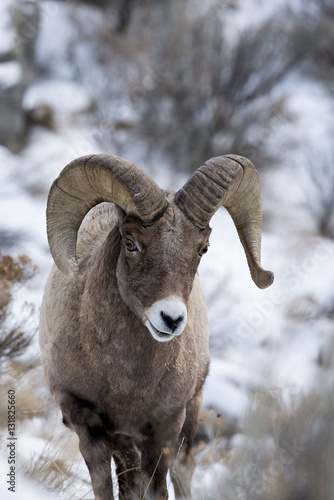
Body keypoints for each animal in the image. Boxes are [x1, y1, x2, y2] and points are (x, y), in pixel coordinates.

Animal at [39, 154, 274, 498]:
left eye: (202, 249)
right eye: (131, 243)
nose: (171, 319)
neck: (125, 380)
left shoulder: (164, 428)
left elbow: (158, 489)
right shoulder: (88, 425)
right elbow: (105, 488)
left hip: (191, 412)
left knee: (183, 470)